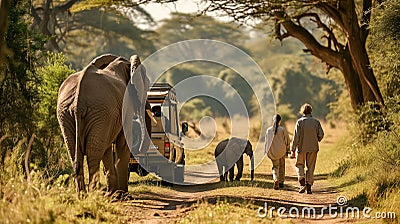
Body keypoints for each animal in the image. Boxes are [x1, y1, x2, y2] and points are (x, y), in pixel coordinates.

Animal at [57, 53, 149, 192]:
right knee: (93, 152)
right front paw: (123, 194)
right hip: (97, 110)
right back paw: (92, 193)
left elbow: (107, 147)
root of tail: (78, 101)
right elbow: (122, 143)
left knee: (75, 151)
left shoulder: (107, 118)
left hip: (69, 114)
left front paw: (114, 193)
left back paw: (82, 195)